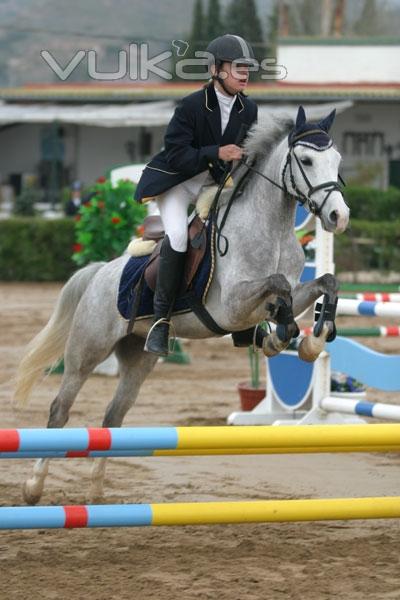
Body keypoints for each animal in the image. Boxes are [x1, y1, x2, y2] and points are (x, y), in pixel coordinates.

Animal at [13, 105, 350, 504]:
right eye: (307, 160)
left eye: (337, 160)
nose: (339, 217)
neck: (272, 230)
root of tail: (100, 272)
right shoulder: (232, 306)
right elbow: (278, 287)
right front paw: (280, 335)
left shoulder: (289, 294)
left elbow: (324, 283)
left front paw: (310, 338)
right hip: (87, 351)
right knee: (60, 411)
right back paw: (34, 487)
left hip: (139, 358)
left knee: (113, 416)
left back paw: (95, 491)